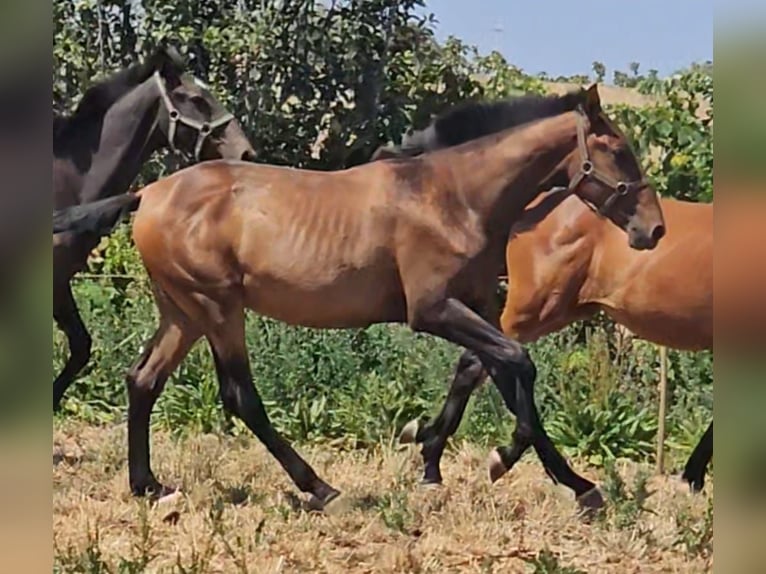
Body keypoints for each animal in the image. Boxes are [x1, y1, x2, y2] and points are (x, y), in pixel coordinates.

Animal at [52, 84, 664, 508]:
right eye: (620, 152)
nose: (653, 230)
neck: (454, 196)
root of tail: (148, 192)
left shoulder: (479, 308)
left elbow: (501, 373)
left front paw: (561, 479)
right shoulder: (433, 310)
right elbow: (518, 364)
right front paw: (545, 474)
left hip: (183, 311)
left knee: (143, 379)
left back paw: (149, 486)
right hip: (217, 307)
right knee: (240, 397)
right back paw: (321, 489)